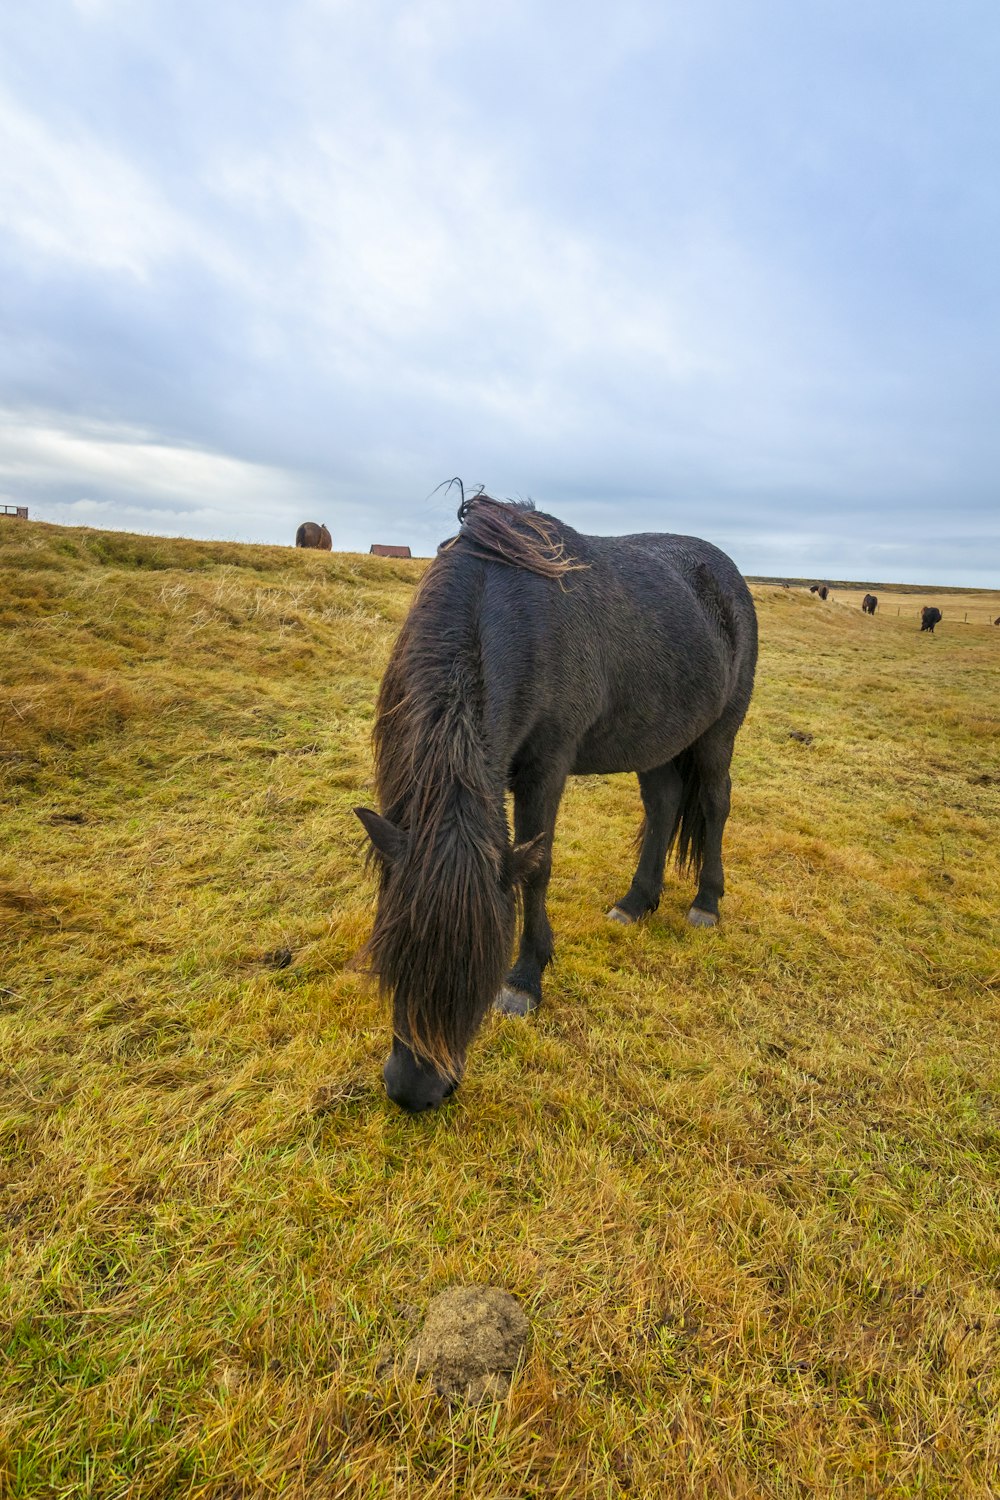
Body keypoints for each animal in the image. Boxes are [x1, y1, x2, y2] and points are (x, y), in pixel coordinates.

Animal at [355, 498, 755, 1110]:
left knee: (714, 805)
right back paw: (636, 902)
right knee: (663, 804)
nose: (414, 1091)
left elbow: (536, 868)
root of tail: (727, 577)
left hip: (717, 736)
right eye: (392, 948)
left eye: (482, 961)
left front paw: (525, 980)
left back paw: (706, 902)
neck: (500, 609)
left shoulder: (546, 768)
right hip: (657, 739)